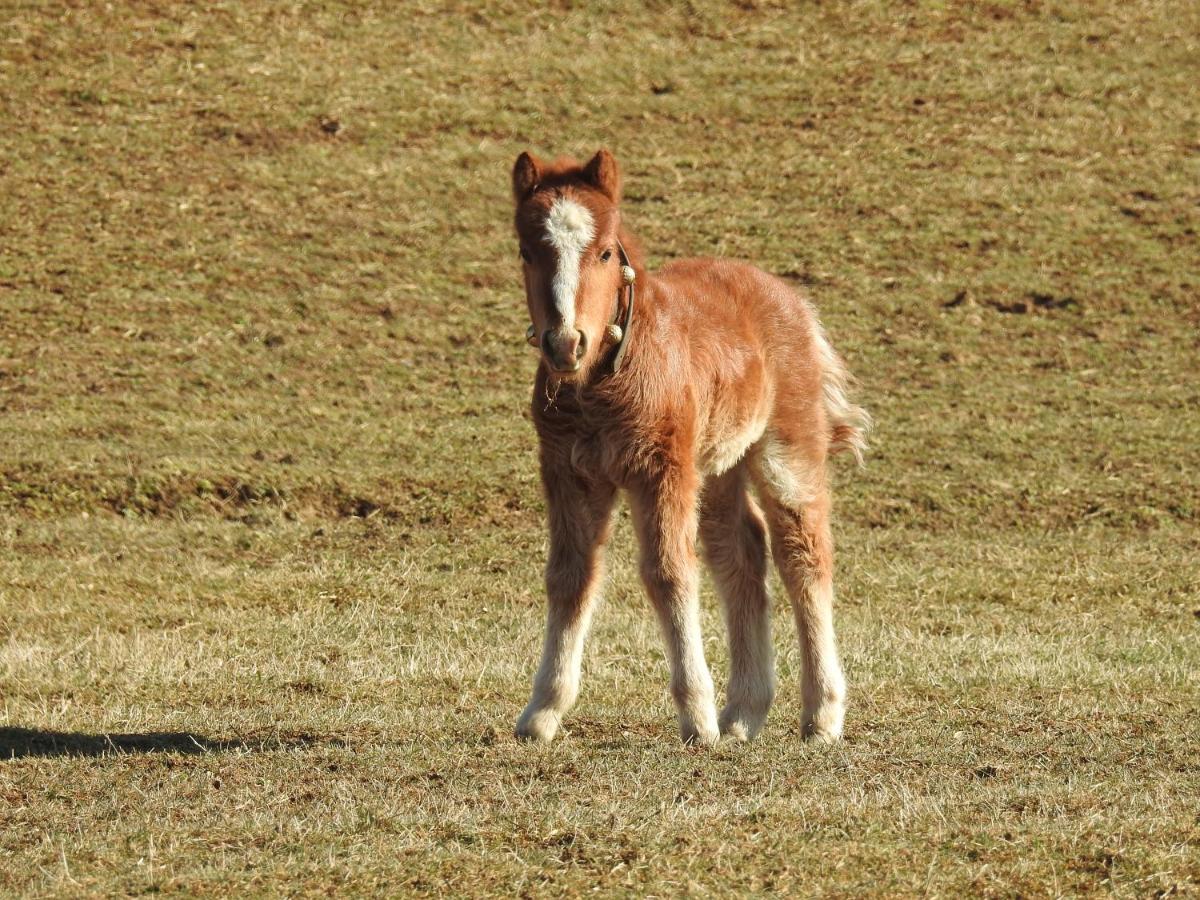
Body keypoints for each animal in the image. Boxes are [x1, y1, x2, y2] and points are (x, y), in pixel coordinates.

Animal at [511, 150, 868, 748]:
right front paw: (541, 713)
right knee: (740, 551)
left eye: (604, 252)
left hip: (785, 448)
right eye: (527, 251)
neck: (605, 377)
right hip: (718, 466)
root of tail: (795, 302)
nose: (566, 343)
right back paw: (743, 713)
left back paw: (821, 715)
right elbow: (570, 576)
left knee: (803, 553)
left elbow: (668, 573)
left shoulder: (661, 468)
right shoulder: (568, 471)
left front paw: (696, 718)